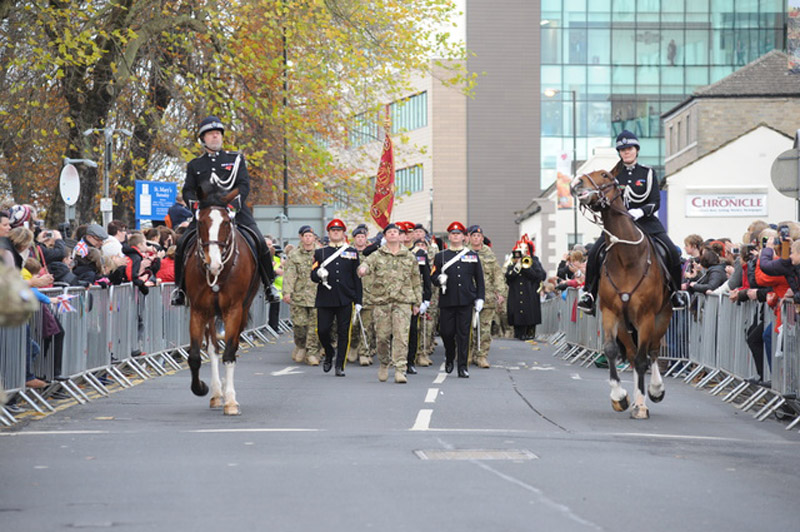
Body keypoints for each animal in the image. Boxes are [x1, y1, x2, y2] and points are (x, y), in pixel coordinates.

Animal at [185, 187, 258, 416]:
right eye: (201, 222)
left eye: (226, 222)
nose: (214, 264)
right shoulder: (198, 310)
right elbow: (195, 356)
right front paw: (201, 388)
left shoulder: (234, 310)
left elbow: (230, 354)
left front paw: (231, 401)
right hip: (210, 314)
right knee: (214, 349)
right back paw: (218, 393)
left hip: (241, 310)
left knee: (230, 349)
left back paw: (226, 391)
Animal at [568, 168, 676, 418]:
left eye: (606, 175)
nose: (576, 183)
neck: (627, 258)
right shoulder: (611, 313)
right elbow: (611, 350)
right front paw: (620, 397)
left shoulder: (646, 317)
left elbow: (644, 358)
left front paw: (643, 403)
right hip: (627, 325)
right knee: (632, 354)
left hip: (662, 316)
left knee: (652, 351)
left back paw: (655, 390)